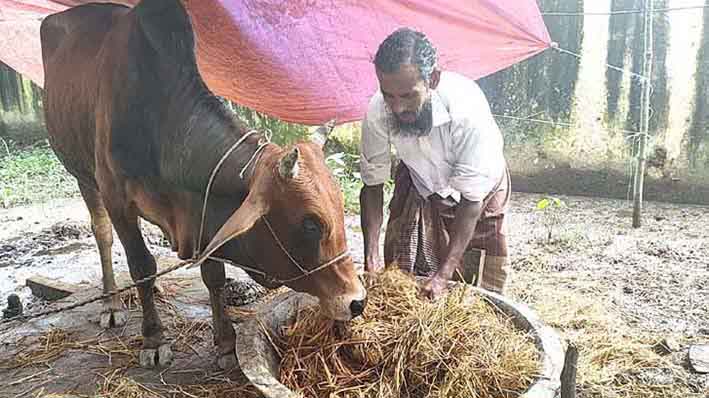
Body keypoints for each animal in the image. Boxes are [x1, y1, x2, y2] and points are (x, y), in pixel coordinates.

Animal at [40, 0, 366, 368]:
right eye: (310, 224)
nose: (357, 301)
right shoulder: (116, 198)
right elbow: (140, 264)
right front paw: (154, 339)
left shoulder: (204, 211)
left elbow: (213, 275)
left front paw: (225, 342)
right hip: (83, 175)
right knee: (103, 234)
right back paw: (111, 303)